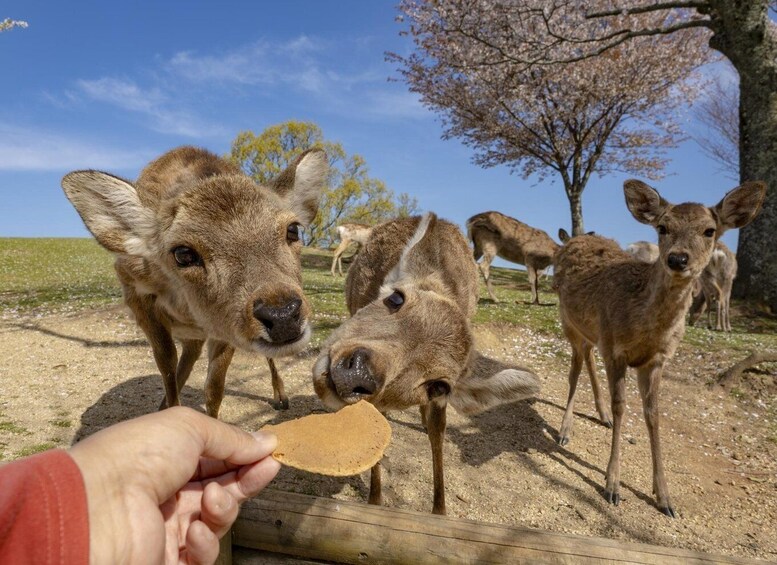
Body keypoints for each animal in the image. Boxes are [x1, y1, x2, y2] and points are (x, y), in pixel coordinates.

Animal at [60, 145, 326, 416]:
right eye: (183, 253)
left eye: (293, 229)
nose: (282, 314)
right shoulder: (134, 292)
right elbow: (166, 362)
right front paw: (170, 411)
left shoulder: (223, 324)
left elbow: (214, 388)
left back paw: (281, 397)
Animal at [310, 212, 540, 512]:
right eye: (396, 298)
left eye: (439, 385)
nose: (358, 373)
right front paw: (375, 501)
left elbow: (438, 432)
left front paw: (439, 511)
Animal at [552, 180, 764, 516]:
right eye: (662, 227)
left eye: (710, 230)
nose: (677, 259)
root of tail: (571, 241)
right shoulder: (616, 349)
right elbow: (622, 407)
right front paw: (612, 486)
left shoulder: (656, 360)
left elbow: (653, 415)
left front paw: (664, 498)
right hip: (567, 319)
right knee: (574, 369)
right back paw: (564, 431)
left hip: (591, 332)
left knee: (586, 357)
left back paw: (599, 415)